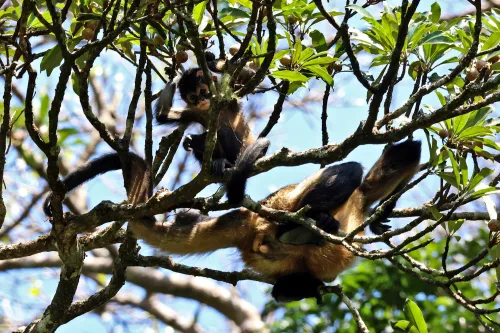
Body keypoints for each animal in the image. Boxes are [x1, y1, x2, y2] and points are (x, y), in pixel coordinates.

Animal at [44, 139, 422, 302]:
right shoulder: (363, 193)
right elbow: (401, 153)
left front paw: (383, 218)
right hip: (283, 203)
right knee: (351, 170)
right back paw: (303, 227)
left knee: (285, 290)